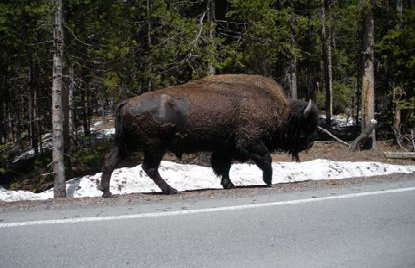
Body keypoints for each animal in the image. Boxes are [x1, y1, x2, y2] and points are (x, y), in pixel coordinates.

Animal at [99, 73, 320, 197]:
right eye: (306, 124)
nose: (311, 142)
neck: (280, 110)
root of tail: (126, 102)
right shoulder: (249, 142)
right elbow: (266, 159)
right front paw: (268, 181)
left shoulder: (224, 148)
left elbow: (224, 167)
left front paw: (228, 185)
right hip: (154, 147)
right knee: (149, 168)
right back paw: (171, 190)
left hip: (126, 145)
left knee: (110, 163)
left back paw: (107, 192)